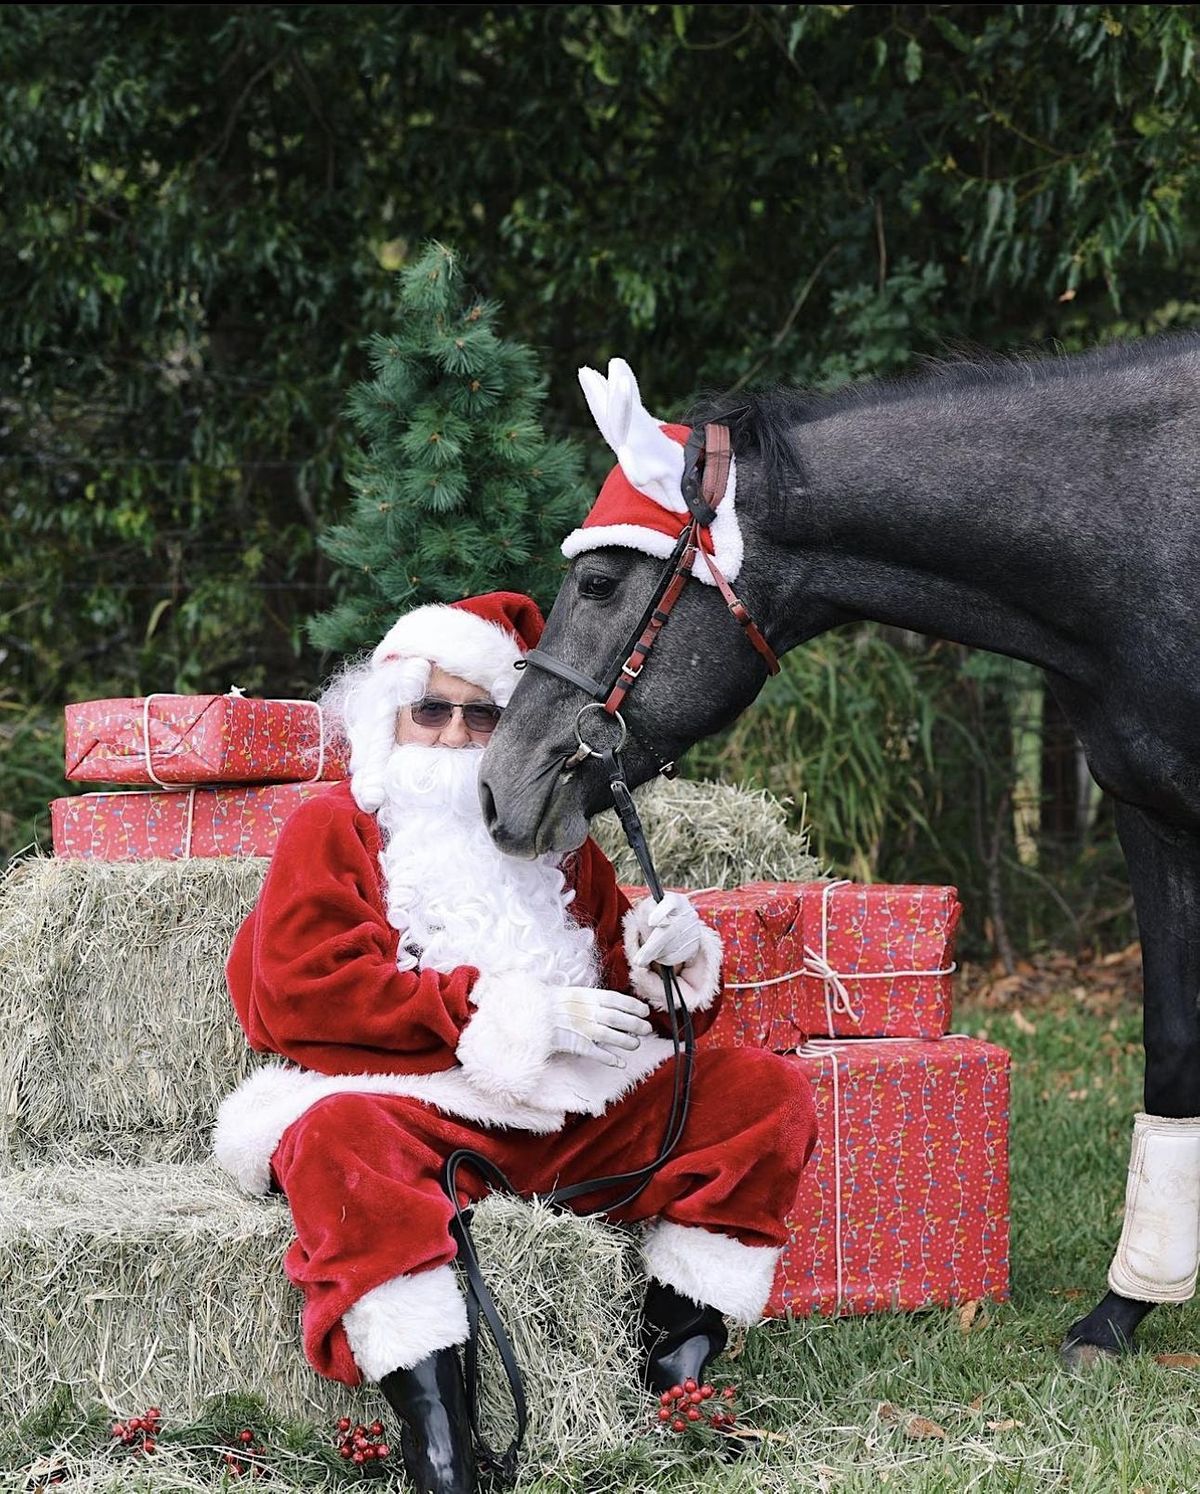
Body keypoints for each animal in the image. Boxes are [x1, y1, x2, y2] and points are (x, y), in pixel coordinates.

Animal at [478, 341, 1200, 1366]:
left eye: (601, 584)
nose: (497, 786)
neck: (1142, 533)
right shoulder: (1150, 814)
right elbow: (1173, 1043)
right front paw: (1121, 1309)